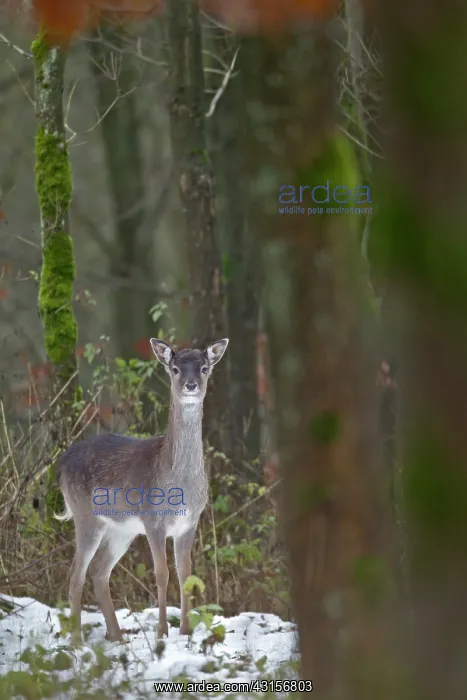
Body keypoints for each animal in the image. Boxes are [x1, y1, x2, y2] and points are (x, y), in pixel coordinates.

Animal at [55, 337, 229, 645]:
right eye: (174, 369)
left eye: (204, 368)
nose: (191, 385)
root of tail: (62, 463)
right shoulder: (153, 521)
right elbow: (162, 574)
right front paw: (162, 632)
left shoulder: (189, 523)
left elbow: (186, 575)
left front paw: (186, 631)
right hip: (85, 515)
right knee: (76, 574)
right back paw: (77, 641)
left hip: (121, 529)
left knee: (99, 572)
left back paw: (117, 636)